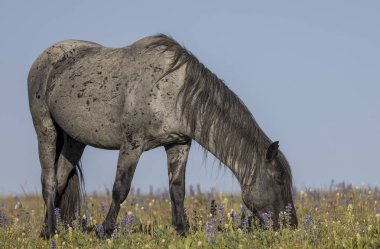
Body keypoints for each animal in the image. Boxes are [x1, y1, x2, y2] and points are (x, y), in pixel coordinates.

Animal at [28, 34, 298, 238]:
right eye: (279, 180)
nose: (291, 225)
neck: (174, 91)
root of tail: (45, 58)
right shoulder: (132, 144)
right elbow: (120, 189)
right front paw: (105, 231)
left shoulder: (178, 144)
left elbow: (177, 189)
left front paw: (182, 230)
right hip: (45, 130)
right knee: (48, 181)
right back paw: (49, 232)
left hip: (75, 141)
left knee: (60, 181)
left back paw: (49, 227)